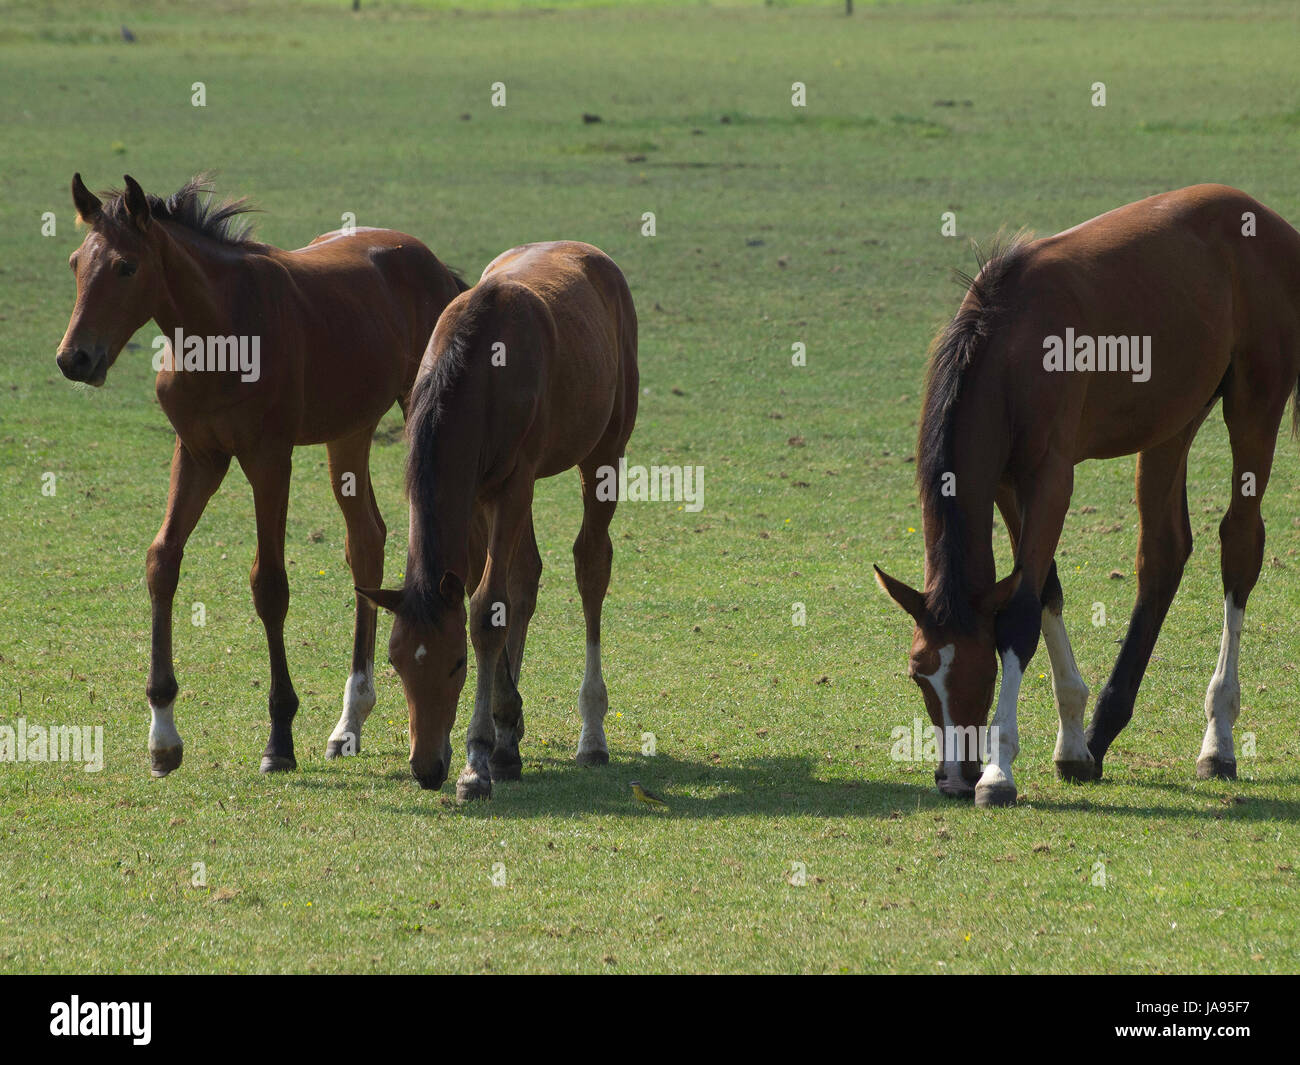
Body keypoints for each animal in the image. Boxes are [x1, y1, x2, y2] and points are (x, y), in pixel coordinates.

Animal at [56, 173, 468, 777]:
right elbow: (162, 561)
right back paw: (349, 722)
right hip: (348, 434)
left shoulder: (269, 459)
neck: (220, 330)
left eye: (126, 266)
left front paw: (279, 737)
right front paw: (163, 736)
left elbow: (269, 585)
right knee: (366, 541)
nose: (74, 360)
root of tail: (434, 265)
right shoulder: (198, 455)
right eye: (75, 263)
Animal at [356, 240, 638, 797]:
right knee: (525, 577)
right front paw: (498, 739)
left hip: (604, 454)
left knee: (592, 566)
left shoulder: (513, 486)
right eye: (395, 662)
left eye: (456, 665)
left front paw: (475, 763)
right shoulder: (473, 499)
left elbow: (487, 609)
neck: (482, 370)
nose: (425, 769)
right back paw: (511, 742)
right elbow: (492, 597)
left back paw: (591, 735)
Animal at [875, 184, 1300, 807]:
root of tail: (1266, 220)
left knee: (1239, 547)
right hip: (1172, 422)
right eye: (918, 672)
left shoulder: (1051, 477)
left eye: (980, 670)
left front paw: (999, 771)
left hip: (1254, 407)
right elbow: (1043, 587)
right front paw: (1073, 740)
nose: (953, 777)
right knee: (1163, 555)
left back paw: (1218, 739)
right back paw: (1104, 729)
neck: (1009, 342)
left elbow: (1020, 613)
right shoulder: (1009, 484)